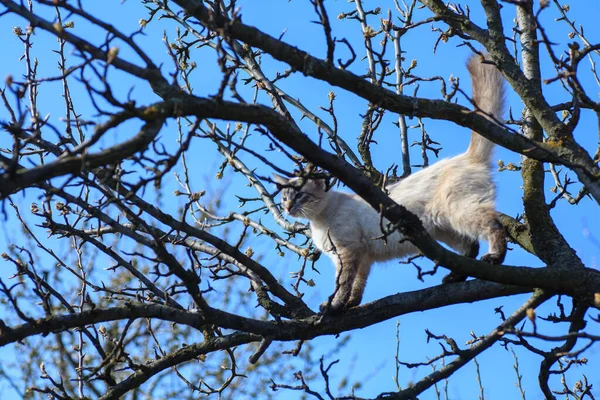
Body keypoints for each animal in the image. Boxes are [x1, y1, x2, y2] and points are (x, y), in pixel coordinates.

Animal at [274, 54, 504, 314]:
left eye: (299, 195)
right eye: (284, 197)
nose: (287, 208)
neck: (318, 221)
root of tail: (467, 156)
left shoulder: (347, 252)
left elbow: (343, 284)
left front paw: (334, 306)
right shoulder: (362, 257)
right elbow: (358, 285)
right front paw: (350, 305)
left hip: (459, 212)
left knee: (493, 227)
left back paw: (494, 258)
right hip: (444, 229)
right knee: (469, 248)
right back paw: (454, 277)